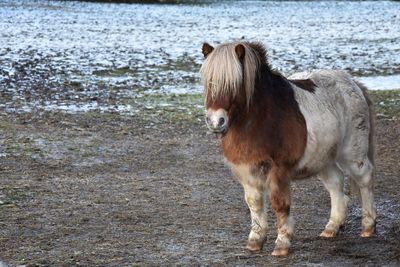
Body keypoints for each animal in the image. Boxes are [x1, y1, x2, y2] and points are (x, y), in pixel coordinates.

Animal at [199, 41, 376, 258]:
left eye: (234, 84)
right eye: (209, 83)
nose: (216, 121)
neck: (259, 118)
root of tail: (353, 83)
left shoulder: (278, 169)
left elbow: (280, 204)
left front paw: (282, 244)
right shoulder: (247, 169)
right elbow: (254, 203)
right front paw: (255, 240)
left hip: (352, 153)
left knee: (364, 179)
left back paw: (368, 226)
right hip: (322, 157)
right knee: (335, 183)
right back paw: (332, 227)